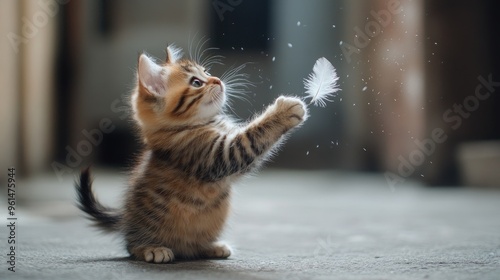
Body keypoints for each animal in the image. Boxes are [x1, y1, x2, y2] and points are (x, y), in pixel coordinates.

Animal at [75, 44, 306, 264]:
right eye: (196, 83)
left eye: (206, 72)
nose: (217, 80)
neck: (198, 124)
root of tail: (125, 218)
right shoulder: (218, 155)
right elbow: (252, 136)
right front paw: (284, 111)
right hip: (143, 229)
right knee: (131, 246)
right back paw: (151, 248)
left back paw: (210, 247)